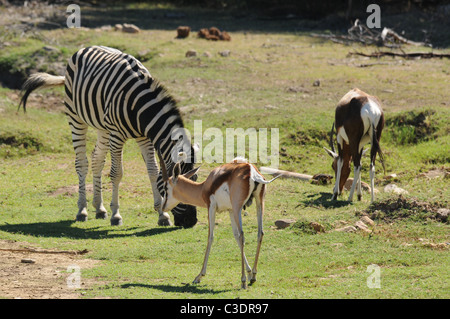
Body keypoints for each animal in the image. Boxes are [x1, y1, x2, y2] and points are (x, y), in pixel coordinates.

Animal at [18, 46, 199, 229]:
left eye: (196, 180)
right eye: (176, 190)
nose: (191, 221)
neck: (139, 107)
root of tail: (85, 48)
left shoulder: (144, 137)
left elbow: (153, 172)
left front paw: (162, 215)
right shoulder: (117, 136)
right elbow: (116, 173)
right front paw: (116, 215)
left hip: (103, 128)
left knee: (96, 160)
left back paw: (99, 208)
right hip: (75, 118)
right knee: (81, 163)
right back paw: (82, 210)